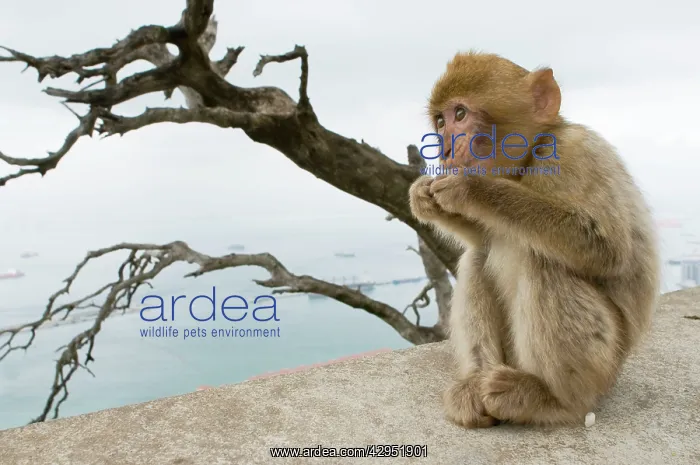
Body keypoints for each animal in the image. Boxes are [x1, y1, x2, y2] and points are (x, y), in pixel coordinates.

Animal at [408, 51, 660, 427]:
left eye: (461, 114)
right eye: (440, 121)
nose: (446, 147)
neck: (530, 159)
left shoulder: (575, 154)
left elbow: (607, 251)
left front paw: (472, 188)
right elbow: (483, 234)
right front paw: (423, 196)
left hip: (605, 364)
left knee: (543, 262)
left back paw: (552, 399)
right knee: (478, 257)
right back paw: (476, 380)